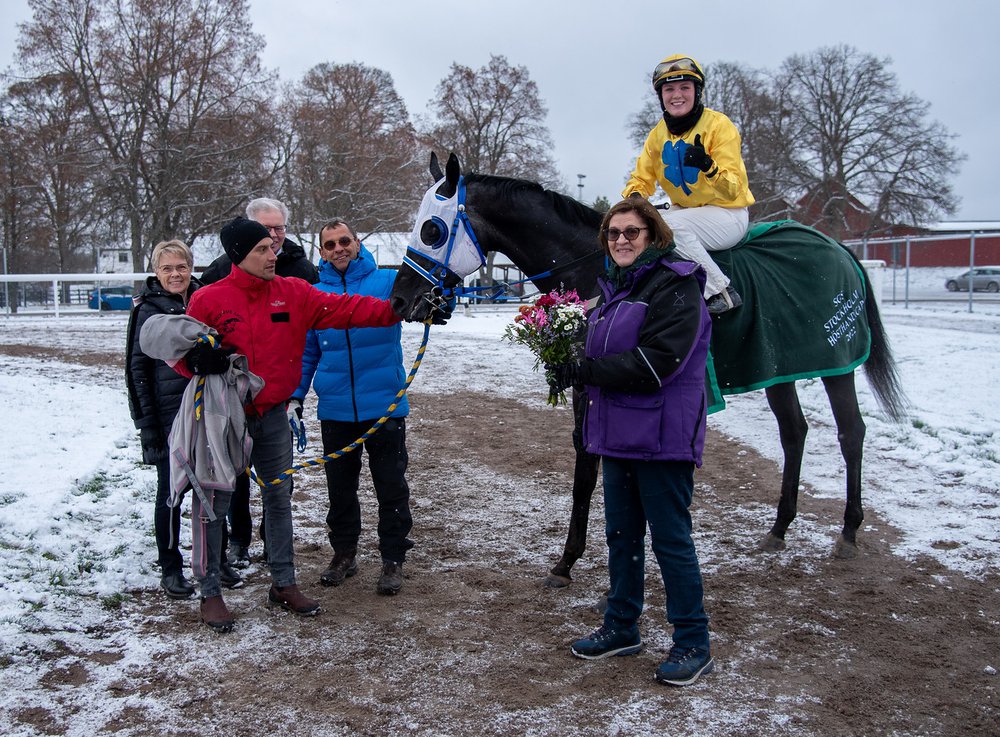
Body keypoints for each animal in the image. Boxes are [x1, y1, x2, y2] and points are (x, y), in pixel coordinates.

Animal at [390, 154, 908, 588]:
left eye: (432, 230)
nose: (399, 300)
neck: (601, 267)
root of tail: (836, 247)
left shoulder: (594, 379)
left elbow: (586, 463)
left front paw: (567, 560)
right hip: (777, 369)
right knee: (794, 432)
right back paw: (780, 528)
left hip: (836, 366)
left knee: (851, 432)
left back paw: (848, 531)